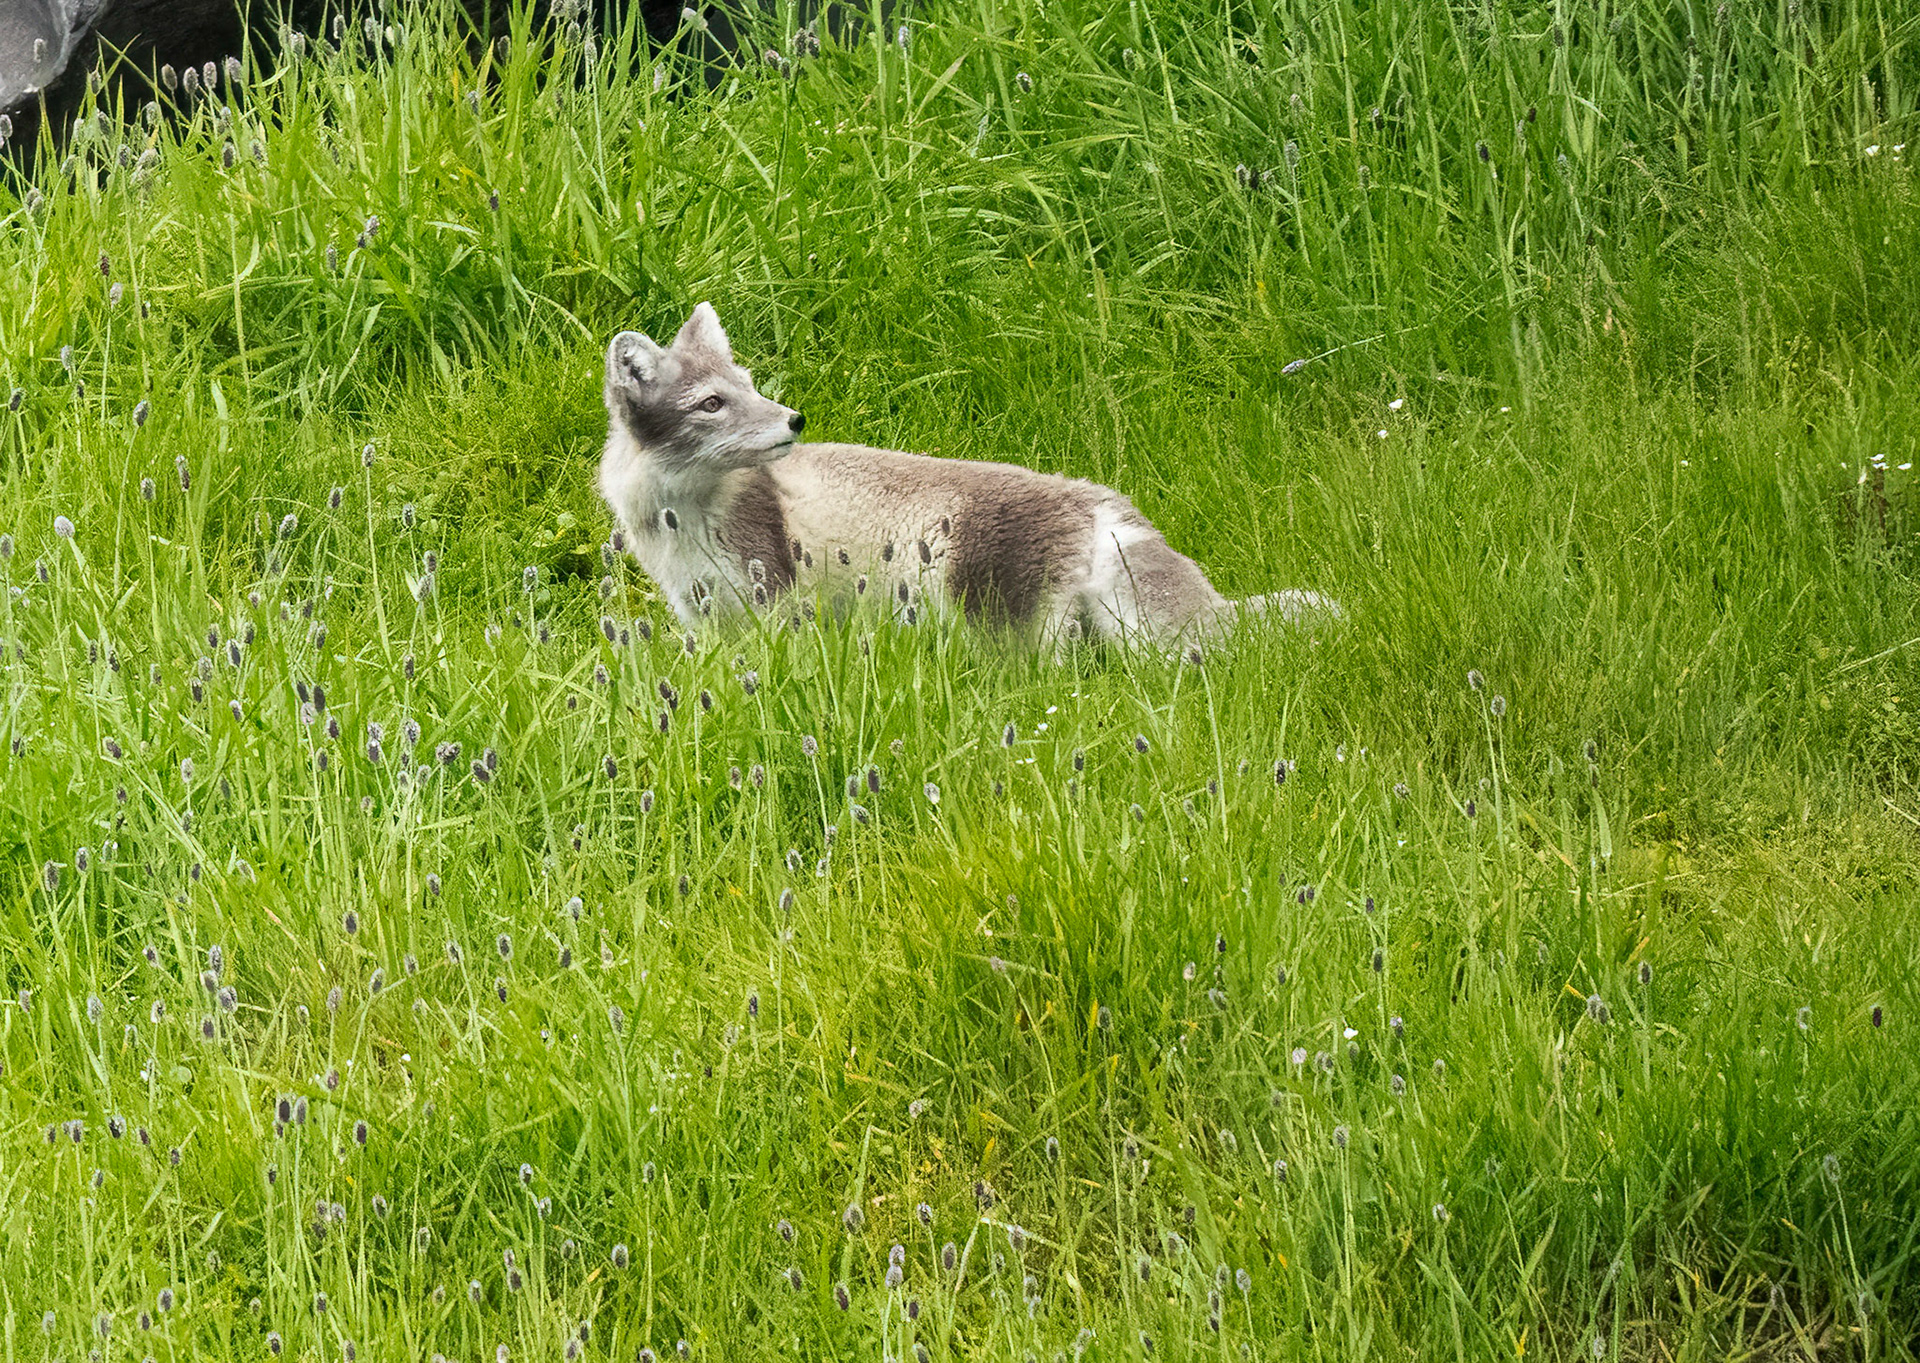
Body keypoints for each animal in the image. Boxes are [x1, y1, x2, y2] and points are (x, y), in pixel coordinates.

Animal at [597, 302, 1339, 647]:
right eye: (712, 403)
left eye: (749, 385)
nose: (795, 420)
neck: (681, 523)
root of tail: (1099, 503)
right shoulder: (706, 619)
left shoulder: (774, 599)